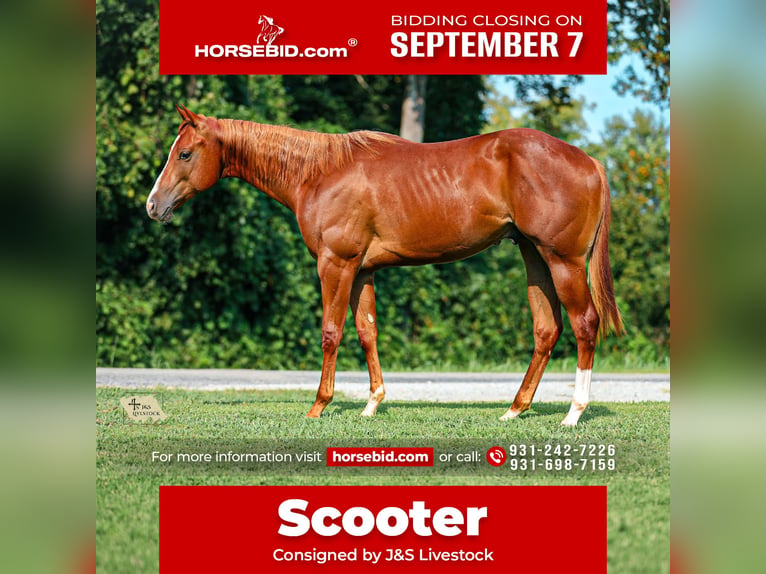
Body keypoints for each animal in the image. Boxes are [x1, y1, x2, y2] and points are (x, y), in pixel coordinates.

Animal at [146, 104, 624, 426]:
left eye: (184, 154)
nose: (153, 206)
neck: (318, 173)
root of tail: (590, 161)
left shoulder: (335, 265)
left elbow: (331, 333)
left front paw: (319, 405)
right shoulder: (362, 270)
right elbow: (367, 332)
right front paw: (372, 403)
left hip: (562, 261)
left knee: (585, 324)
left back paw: (573, 413)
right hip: (534, 257)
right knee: (547, 330)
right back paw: (514, 409)